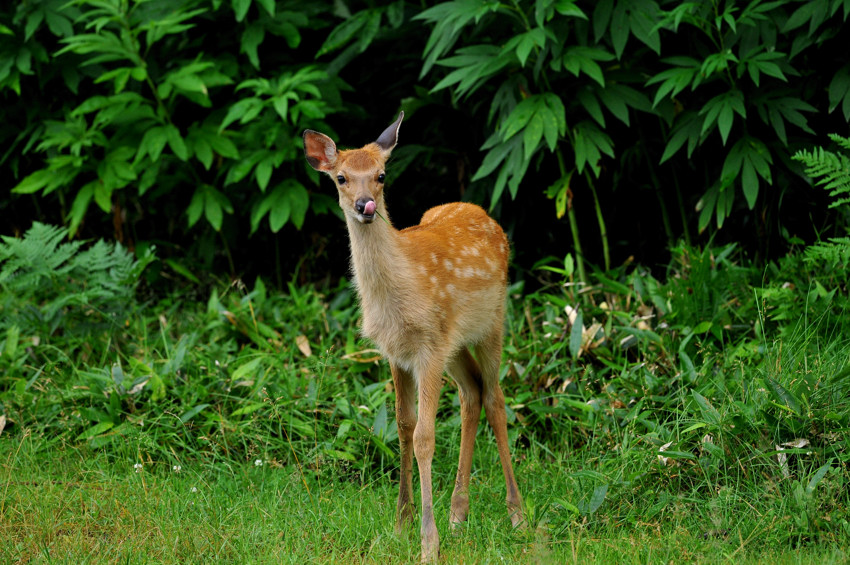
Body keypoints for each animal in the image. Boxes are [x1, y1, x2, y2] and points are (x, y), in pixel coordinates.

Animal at [302, 112, 520, 560]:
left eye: (381, 175)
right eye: (341, 178)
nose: (365, 206)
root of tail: (482, 213)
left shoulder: (428, 349)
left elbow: (424, 436)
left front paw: (428, 544)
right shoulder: (397, 352)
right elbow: (403, 426)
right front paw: (401, 526)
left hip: (492, 322)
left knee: (495, 399)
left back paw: (517, 515)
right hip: (454, 344)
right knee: (472, 393)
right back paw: (459, 514)